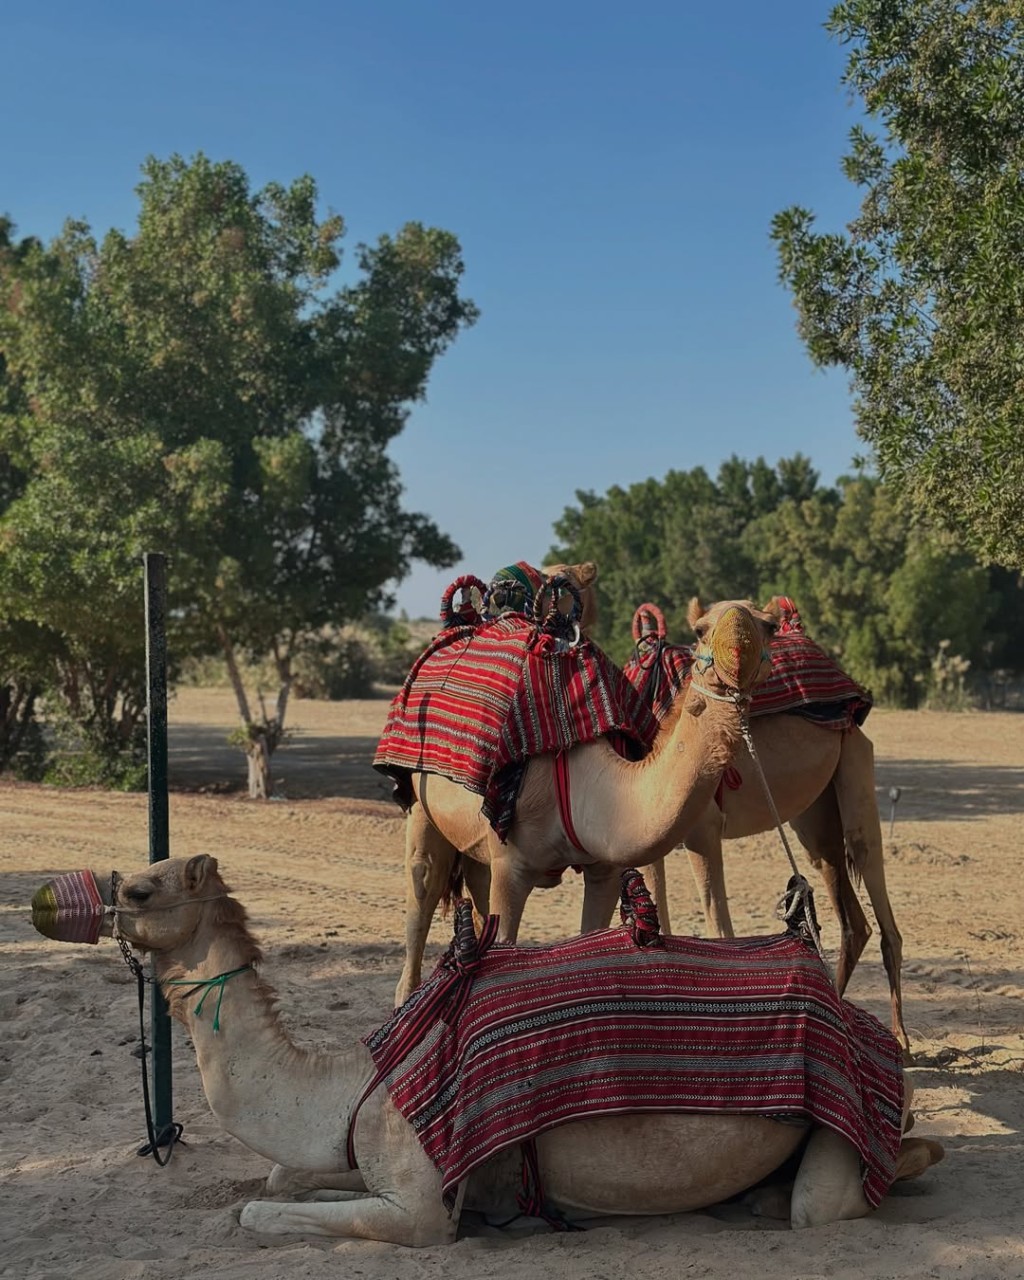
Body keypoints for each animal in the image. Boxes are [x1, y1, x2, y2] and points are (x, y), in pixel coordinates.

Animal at [394, 599, 778, 1008]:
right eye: (700, 630)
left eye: (770, 626)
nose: (736, 652)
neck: (588, 784)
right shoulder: (512, 865)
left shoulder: (603, 868)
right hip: (419, 799)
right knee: (424, 880)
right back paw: (406, 998)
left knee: (474, 877)